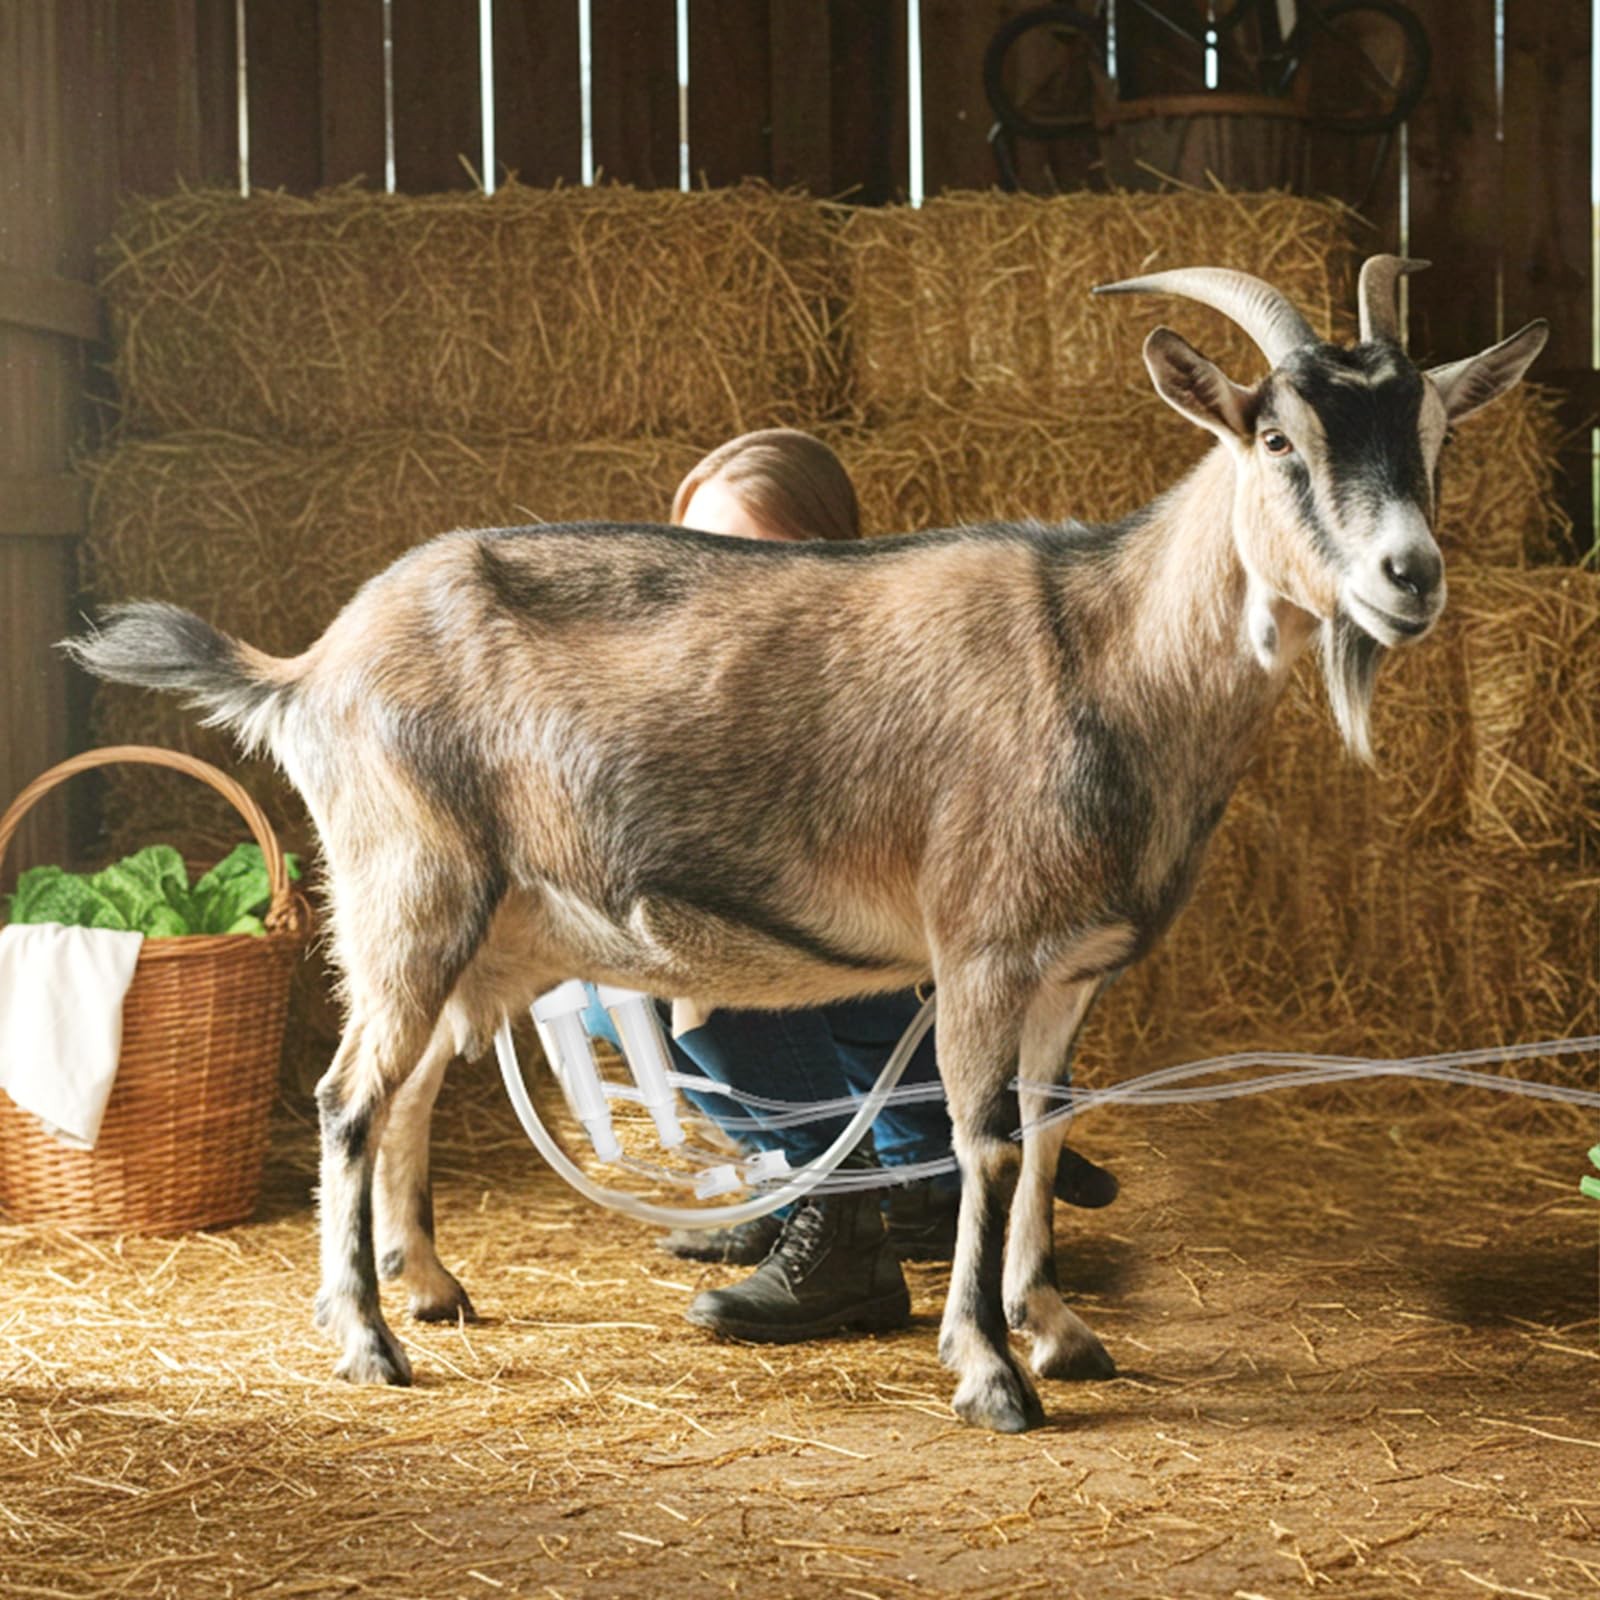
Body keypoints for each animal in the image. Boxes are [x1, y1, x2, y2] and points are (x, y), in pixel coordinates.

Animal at [66, 256, 1546, 1433]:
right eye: (1277, 437)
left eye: (1433, 432)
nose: (1410, 576)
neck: (1106, 654)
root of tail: (310, 665)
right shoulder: (980, 940)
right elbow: (981, 1137)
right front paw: (989, 1370)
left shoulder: (1073, 965)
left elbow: (1052, 1129)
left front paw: (1057, 1326)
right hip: (407, 882)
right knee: (345, 1097)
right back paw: (366, 1338)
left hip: (490, 923)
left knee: (415, 1083)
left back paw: (426, 1289)